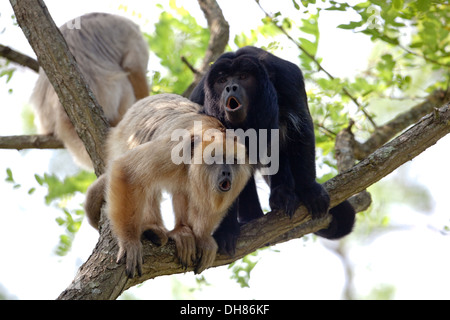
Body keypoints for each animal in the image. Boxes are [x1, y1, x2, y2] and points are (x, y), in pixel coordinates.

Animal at [83, 94, 253, 276]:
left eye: (233, 161)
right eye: (214, 158)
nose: (226, 172)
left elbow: (209, 206)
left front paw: (202, 238)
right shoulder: (177, 149)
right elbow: (127, 170)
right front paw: (129, 241)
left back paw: (182, 231)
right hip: (121, 143)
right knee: (146, 184)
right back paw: (154, 230)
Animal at [189, 45, 356, 255]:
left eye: (243, 76)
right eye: (222, 80)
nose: (230, 87)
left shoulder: (289, 80)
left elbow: (301, 130)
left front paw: (309, 190)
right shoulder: (199, 101)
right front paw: (225, 231)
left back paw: (281, 195)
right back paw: (250, 217)